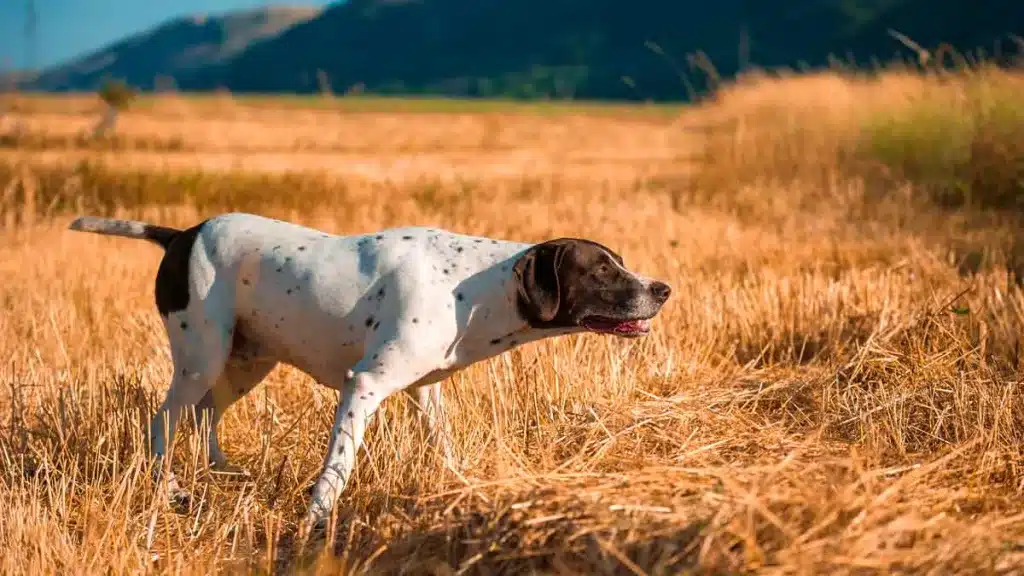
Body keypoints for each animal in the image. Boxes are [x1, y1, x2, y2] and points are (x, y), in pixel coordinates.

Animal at [64, 211, 671, 532]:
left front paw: (461, 488)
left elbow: (442, 444)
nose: (663, 289)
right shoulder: (366, 384)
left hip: (245, 361)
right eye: (601, 269)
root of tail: (181, 234)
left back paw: (222, 472)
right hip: (201, 358)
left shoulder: (425, 391)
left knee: (204, 415)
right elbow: (338, 466)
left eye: (618, 262)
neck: (473, 287)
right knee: (163, 422)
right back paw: (169, 490)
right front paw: (316, 520)